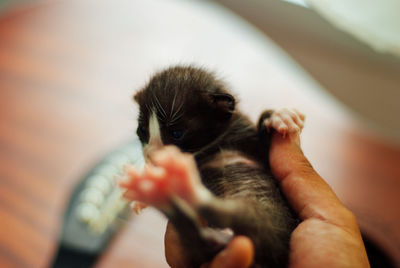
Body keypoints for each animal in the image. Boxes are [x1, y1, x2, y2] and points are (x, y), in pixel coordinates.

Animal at [121, 65, 304, 268]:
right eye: (142, 130)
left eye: (177, 133)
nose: (151, 156)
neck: (211, 147)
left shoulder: (256, 149)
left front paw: (280, 115)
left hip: (267, 220)